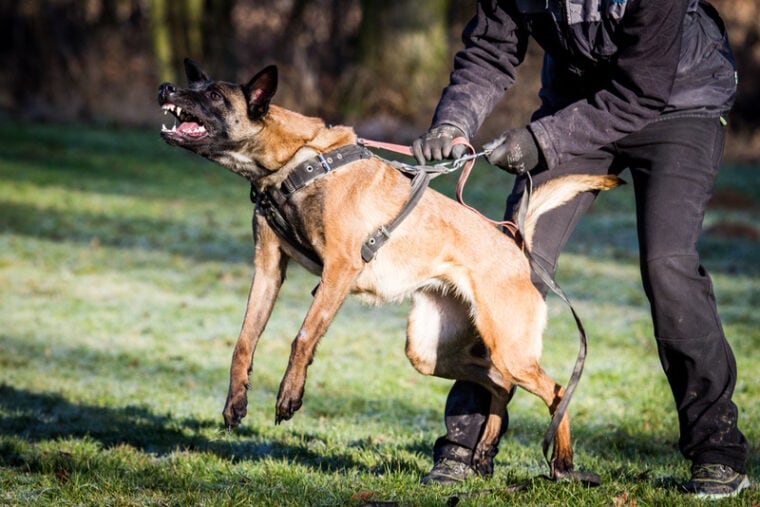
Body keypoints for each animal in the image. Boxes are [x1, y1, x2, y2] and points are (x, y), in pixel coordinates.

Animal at [157, 59, 620, 480]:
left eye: (215, 95)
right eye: (193, 84)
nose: (165, 88)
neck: (294, 160)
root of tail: (516, 244)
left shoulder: (339, 270)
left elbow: (302, 337)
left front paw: (290, 395)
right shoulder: (269, 269)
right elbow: (244, 341)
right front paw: (235, 401)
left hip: (510, 349)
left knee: (556, 391)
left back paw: (562, 463)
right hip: (431, 351)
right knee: (500, 385)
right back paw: (486, 450)